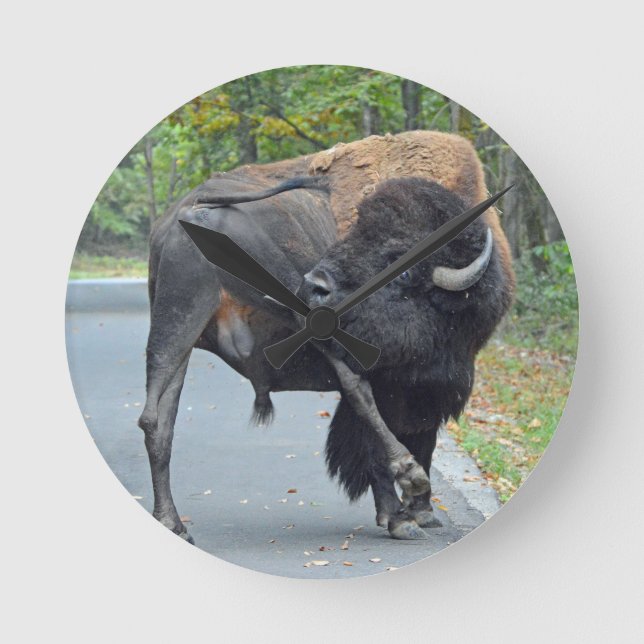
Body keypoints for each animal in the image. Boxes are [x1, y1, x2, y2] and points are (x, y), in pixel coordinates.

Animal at [138, 131, 515, 542]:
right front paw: (402, 516)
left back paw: (172, 523)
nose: (315, 285)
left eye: (403, 270)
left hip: (178, 328)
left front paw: (421, 514)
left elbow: (422, 437)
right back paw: (409, 479)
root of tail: (188, 213)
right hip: (304, 320)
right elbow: (376, 434)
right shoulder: (398, 385)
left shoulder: (428, 390)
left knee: (157, 419)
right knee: (356, 389)